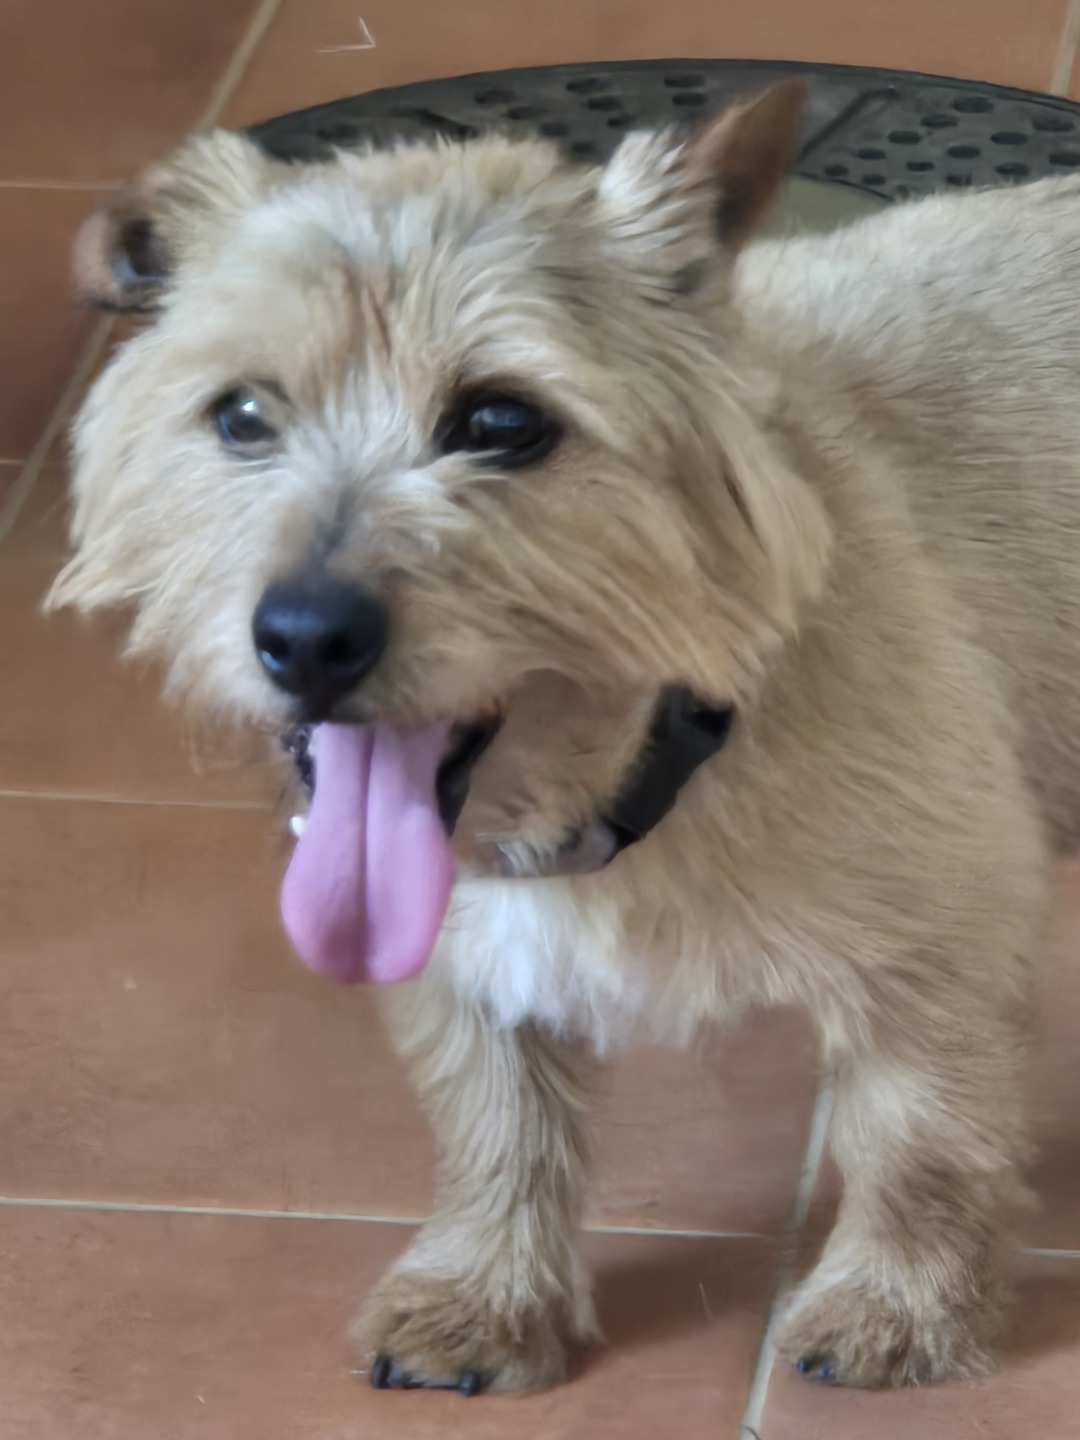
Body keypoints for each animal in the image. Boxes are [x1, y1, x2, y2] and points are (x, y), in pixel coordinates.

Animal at [50, 79, 1080, 1393]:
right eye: (239, 415)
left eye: (502, 420)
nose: (305, 637)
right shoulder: (455, 956)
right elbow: (497, 1121)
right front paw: (488, 1294)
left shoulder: (941, 931)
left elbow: (919, 1132)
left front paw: (900, 1305)